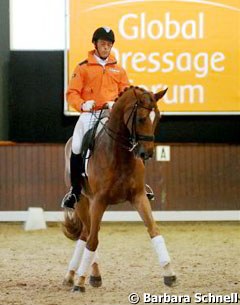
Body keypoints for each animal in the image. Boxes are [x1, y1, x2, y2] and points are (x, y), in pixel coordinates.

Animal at [62, 85, 176, 290]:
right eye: (141, 118)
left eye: (158, 117)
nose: (147, 153)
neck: (118, 154)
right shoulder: (99, 201)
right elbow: (93, 241)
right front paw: (81, 282)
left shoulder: (139, 196)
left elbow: (154, 231)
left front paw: (169, 273)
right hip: (82, 200)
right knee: (88, 234)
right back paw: (81, 275)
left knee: (84, 234)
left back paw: (77, 275)